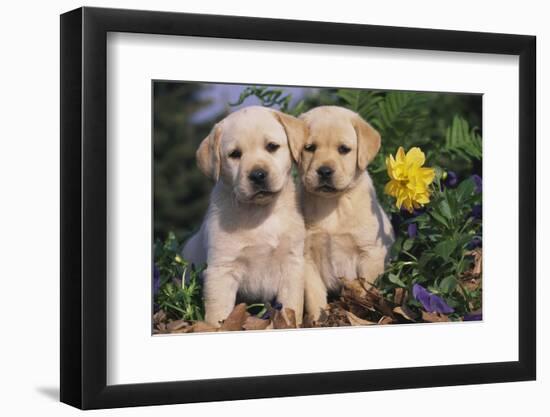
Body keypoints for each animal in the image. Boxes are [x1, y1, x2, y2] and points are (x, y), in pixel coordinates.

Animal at [184, 105, 306, 326]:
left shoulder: (292, 264)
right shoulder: (221, 270)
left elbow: (291, 305)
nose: (258, 175)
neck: (259, 212)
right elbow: (218, 314)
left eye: (272, 146)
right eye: (235, 154)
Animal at [298, 105, 396, 318]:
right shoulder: (307, 258)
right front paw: (318, 318)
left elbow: (365, 289)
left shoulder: (371, 253)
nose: (324, 171)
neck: (333, 204)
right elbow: (314, 296)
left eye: (343, 149)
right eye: (310, 148)